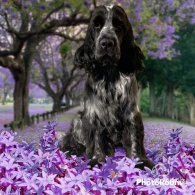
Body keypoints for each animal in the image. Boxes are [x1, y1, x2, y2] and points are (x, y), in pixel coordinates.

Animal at [59, 4, 154, 169]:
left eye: (118, 25)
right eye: (96, 25)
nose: (107, 43)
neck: (109, 73)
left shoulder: (132, 112)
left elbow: (135, 136)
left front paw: (139, 161)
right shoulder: (94, 113)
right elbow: (96, 138)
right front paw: (97, 160)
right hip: (79, 118)